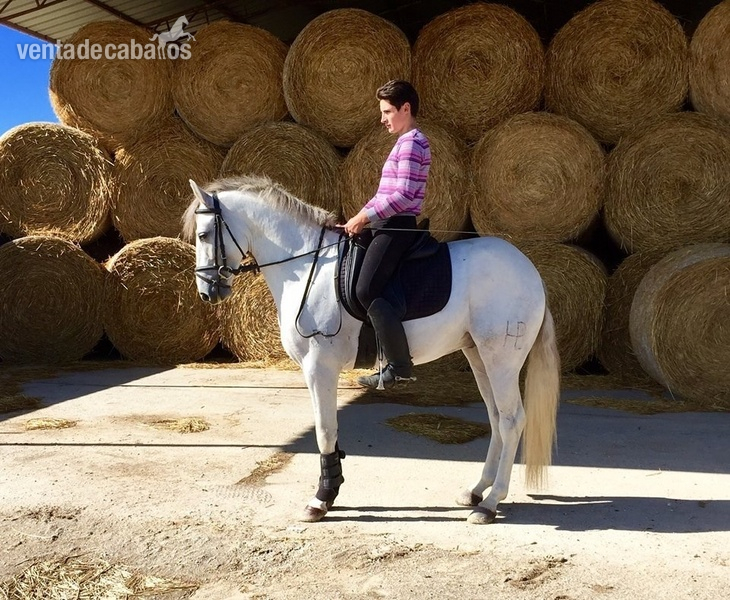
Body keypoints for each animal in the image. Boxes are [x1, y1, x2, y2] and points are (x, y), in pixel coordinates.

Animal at [182, 175, 560, 525]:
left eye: (204, 235)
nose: (206, 292)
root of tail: (530, 270)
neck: (306, 266)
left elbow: (324, 430)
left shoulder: (319, 367)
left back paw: (490, 503)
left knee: (512, 420)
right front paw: (331, 491)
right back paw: (477, 490)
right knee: (496, 418)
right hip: (479, 356)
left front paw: (320, 500)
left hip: (502, 359)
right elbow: (330, 430)